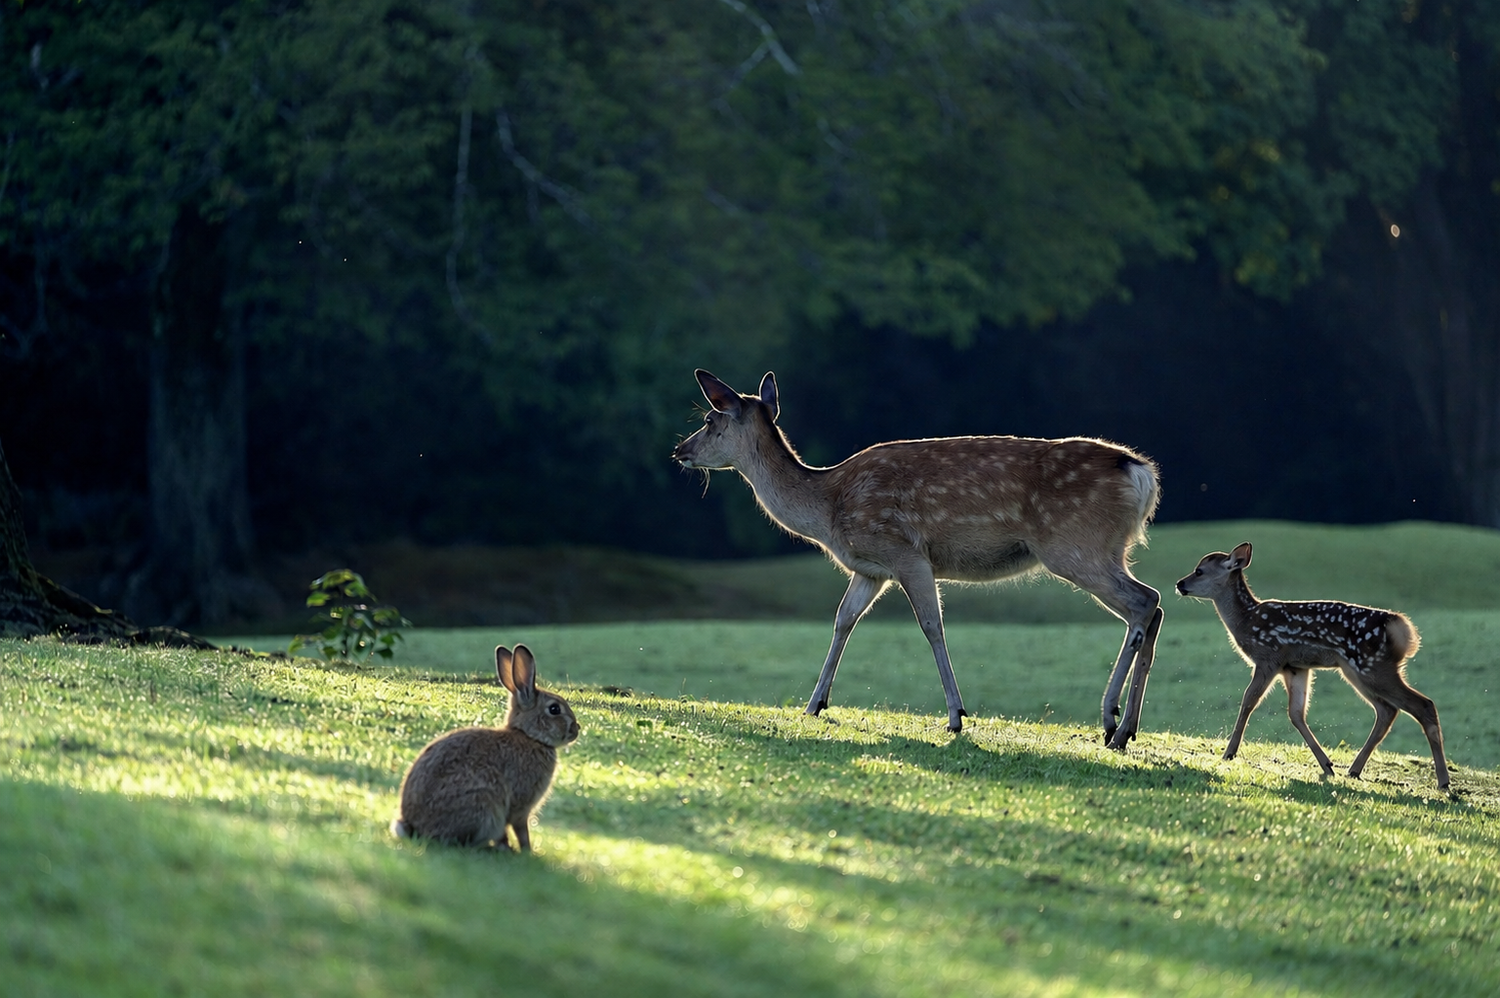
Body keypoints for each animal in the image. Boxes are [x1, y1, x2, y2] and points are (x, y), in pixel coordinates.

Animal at [391, 644, 580, 850]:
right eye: (554, 709)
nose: (576, 729)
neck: (530, 737)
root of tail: (414, 828)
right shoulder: (520, 805)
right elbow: (520, 829)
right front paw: (526, 850)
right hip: (485, 801)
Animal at [672, 369, 1164, 745]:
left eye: (711, 420)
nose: (679, 450)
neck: (829, 507)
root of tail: (1141, 474)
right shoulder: (870, 569)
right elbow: (843, 620)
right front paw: (813, 704)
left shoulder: (904, 552)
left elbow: (931, 625)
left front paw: (956, 716)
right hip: (1105, 549)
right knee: (1153, 604)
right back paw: (1127, 728)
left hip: (1075, 545)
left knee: (1144, 601)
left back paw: (1112, 721)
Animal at [1176, 542, 1449, 789]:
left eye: (1199, 571)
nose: (1179, 584)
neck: (1246, 621)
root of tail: (1402, 628)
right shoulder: (1296, 667)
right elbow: (1296, 713)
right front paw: (1327, 766)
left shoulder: (1269, 657)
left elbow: (1248, 701)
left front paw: (1229, 753)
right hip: (1358, 670)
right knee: (1387, 710)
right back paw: (1354, 770)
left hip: (1372, 666)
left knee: (1422, 705)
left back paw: (1443, 782)